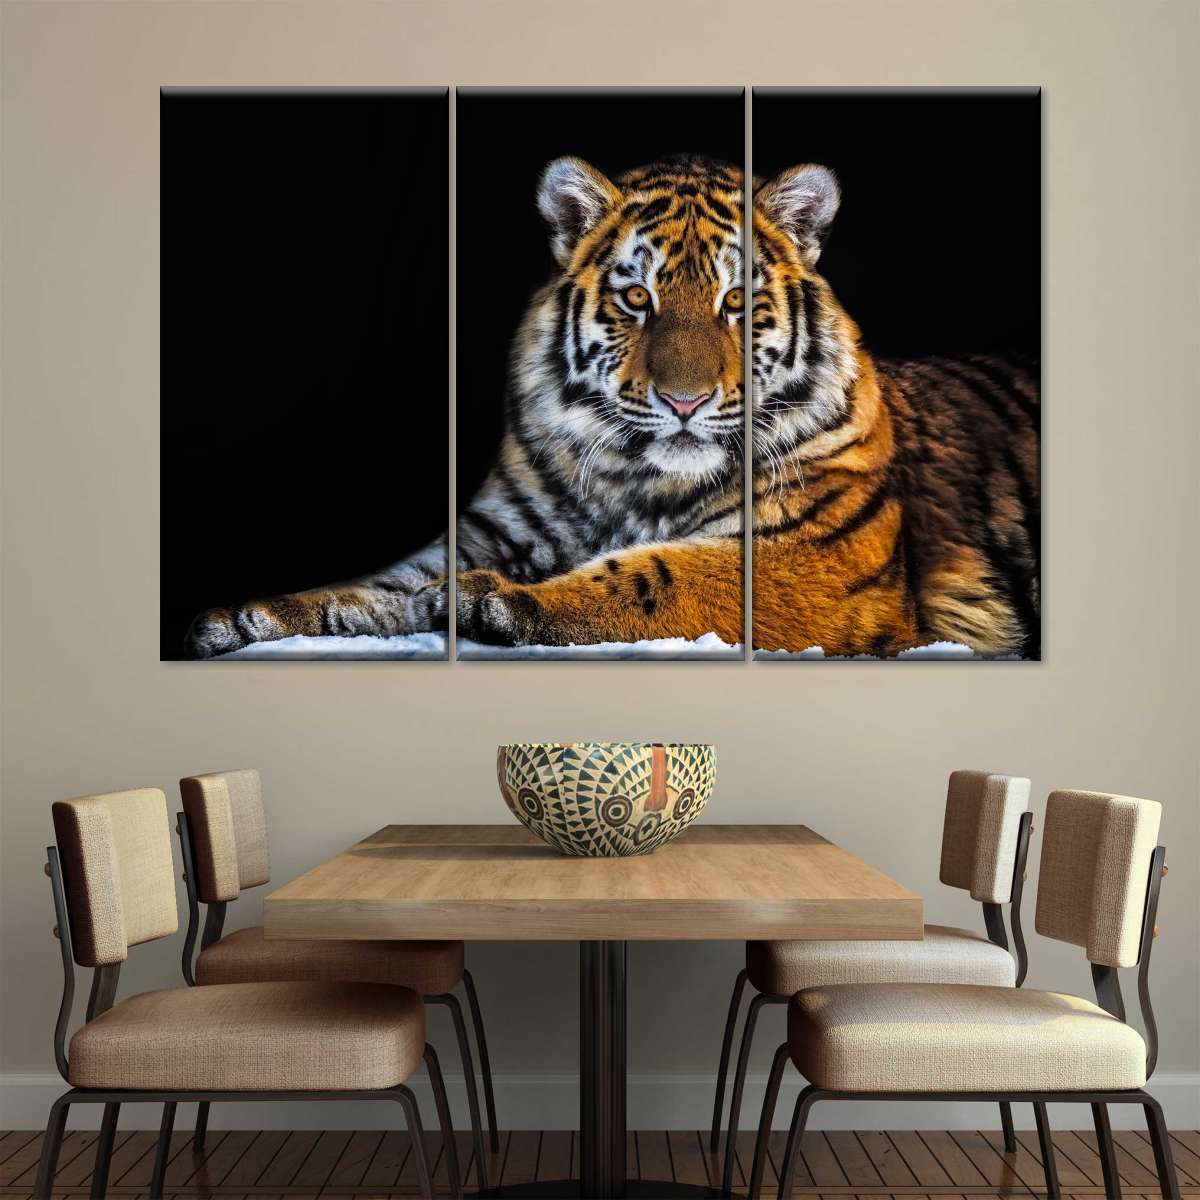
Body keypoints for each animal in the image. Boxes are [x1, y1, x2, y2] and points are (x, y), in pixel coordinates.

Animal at [185, 155, 1039, 659]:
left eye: (737, 303)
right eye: (637, 299)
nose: (686, 401)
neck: (634, 481)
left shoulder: (813, 558)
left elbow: (660, 575)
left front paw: (495, 604)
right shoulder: (491, 529)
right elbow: (382, 582)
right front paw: (257, 615)